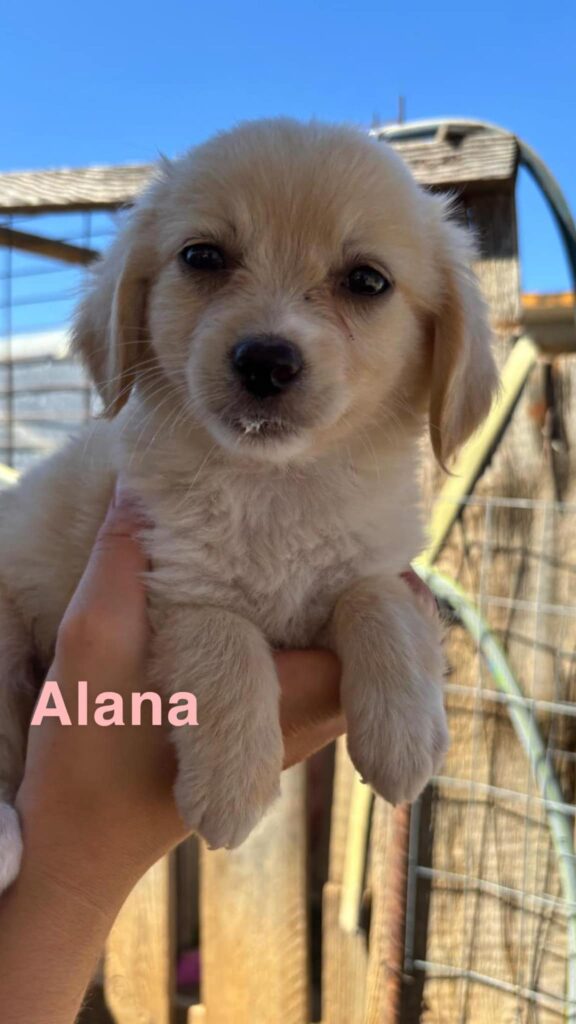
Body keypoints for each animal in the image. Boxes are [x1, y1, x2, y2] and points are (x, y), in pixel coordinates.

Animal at [0, 118, 498, 892]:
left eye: (367, 281)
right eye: (202, 256)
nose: (265, 360)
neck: (277, 488)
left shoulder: (377, 563)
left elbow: (378, 603)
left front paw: (406, 737)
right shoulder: (177, 579)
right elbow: (226, 644)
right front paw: (232, 788)